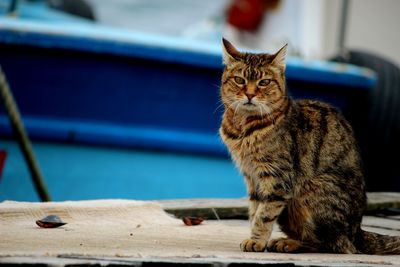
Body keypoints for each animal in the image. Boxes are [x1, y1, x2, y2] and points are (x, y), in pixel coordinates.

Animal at [219, 38, 400, 255]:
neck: (243, 127)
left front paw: (257, 240)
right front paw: (256, 237)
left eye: (264, 82)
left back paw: (290, 243)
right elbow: (255, 211)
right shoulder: (252, 178)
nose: (249, 94)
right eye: (240, 80)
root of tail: (357, 231)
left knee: (333, 244)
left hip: (311, 191)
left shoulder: (277, 178)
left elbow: (264, 215)